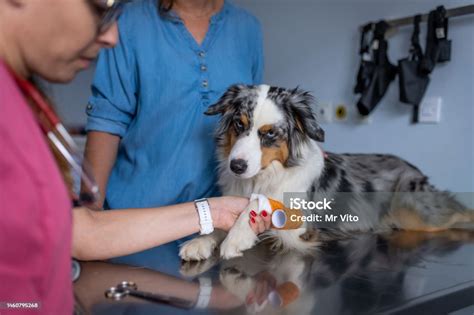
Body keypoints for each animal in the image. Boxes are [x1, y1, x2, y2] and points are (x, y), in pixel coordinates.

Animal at [179, 84, 474, 262]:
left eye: (270, 134)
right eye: (238, 125)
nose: (236, 166)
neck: (264, 177)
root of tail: (410, 165)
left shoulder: (301, 228)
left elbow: (256, 206)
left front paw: (237, 237)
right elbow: (223, 218)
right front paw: (201, 241)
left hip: (412, 212)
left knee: (459, 211)